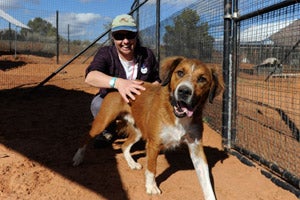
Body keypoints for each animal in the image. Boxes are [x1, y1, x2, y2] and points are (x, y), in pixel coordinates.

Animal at [72, 56, 223, 200]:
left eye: (202, 79)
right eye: (180, 72)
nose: (184, 91)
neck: (177, 116)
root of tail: (121, 82)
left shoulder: (196, 148)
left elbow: (206, 181)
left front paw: (210, 196)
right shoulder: (154, 144)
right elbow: (151, 169)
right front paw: (151, 187)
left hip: (139, 130)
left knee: (125, 146)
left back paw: (132, 163)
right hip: (103, 121)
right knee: (86, 136)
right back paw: (78, 157)